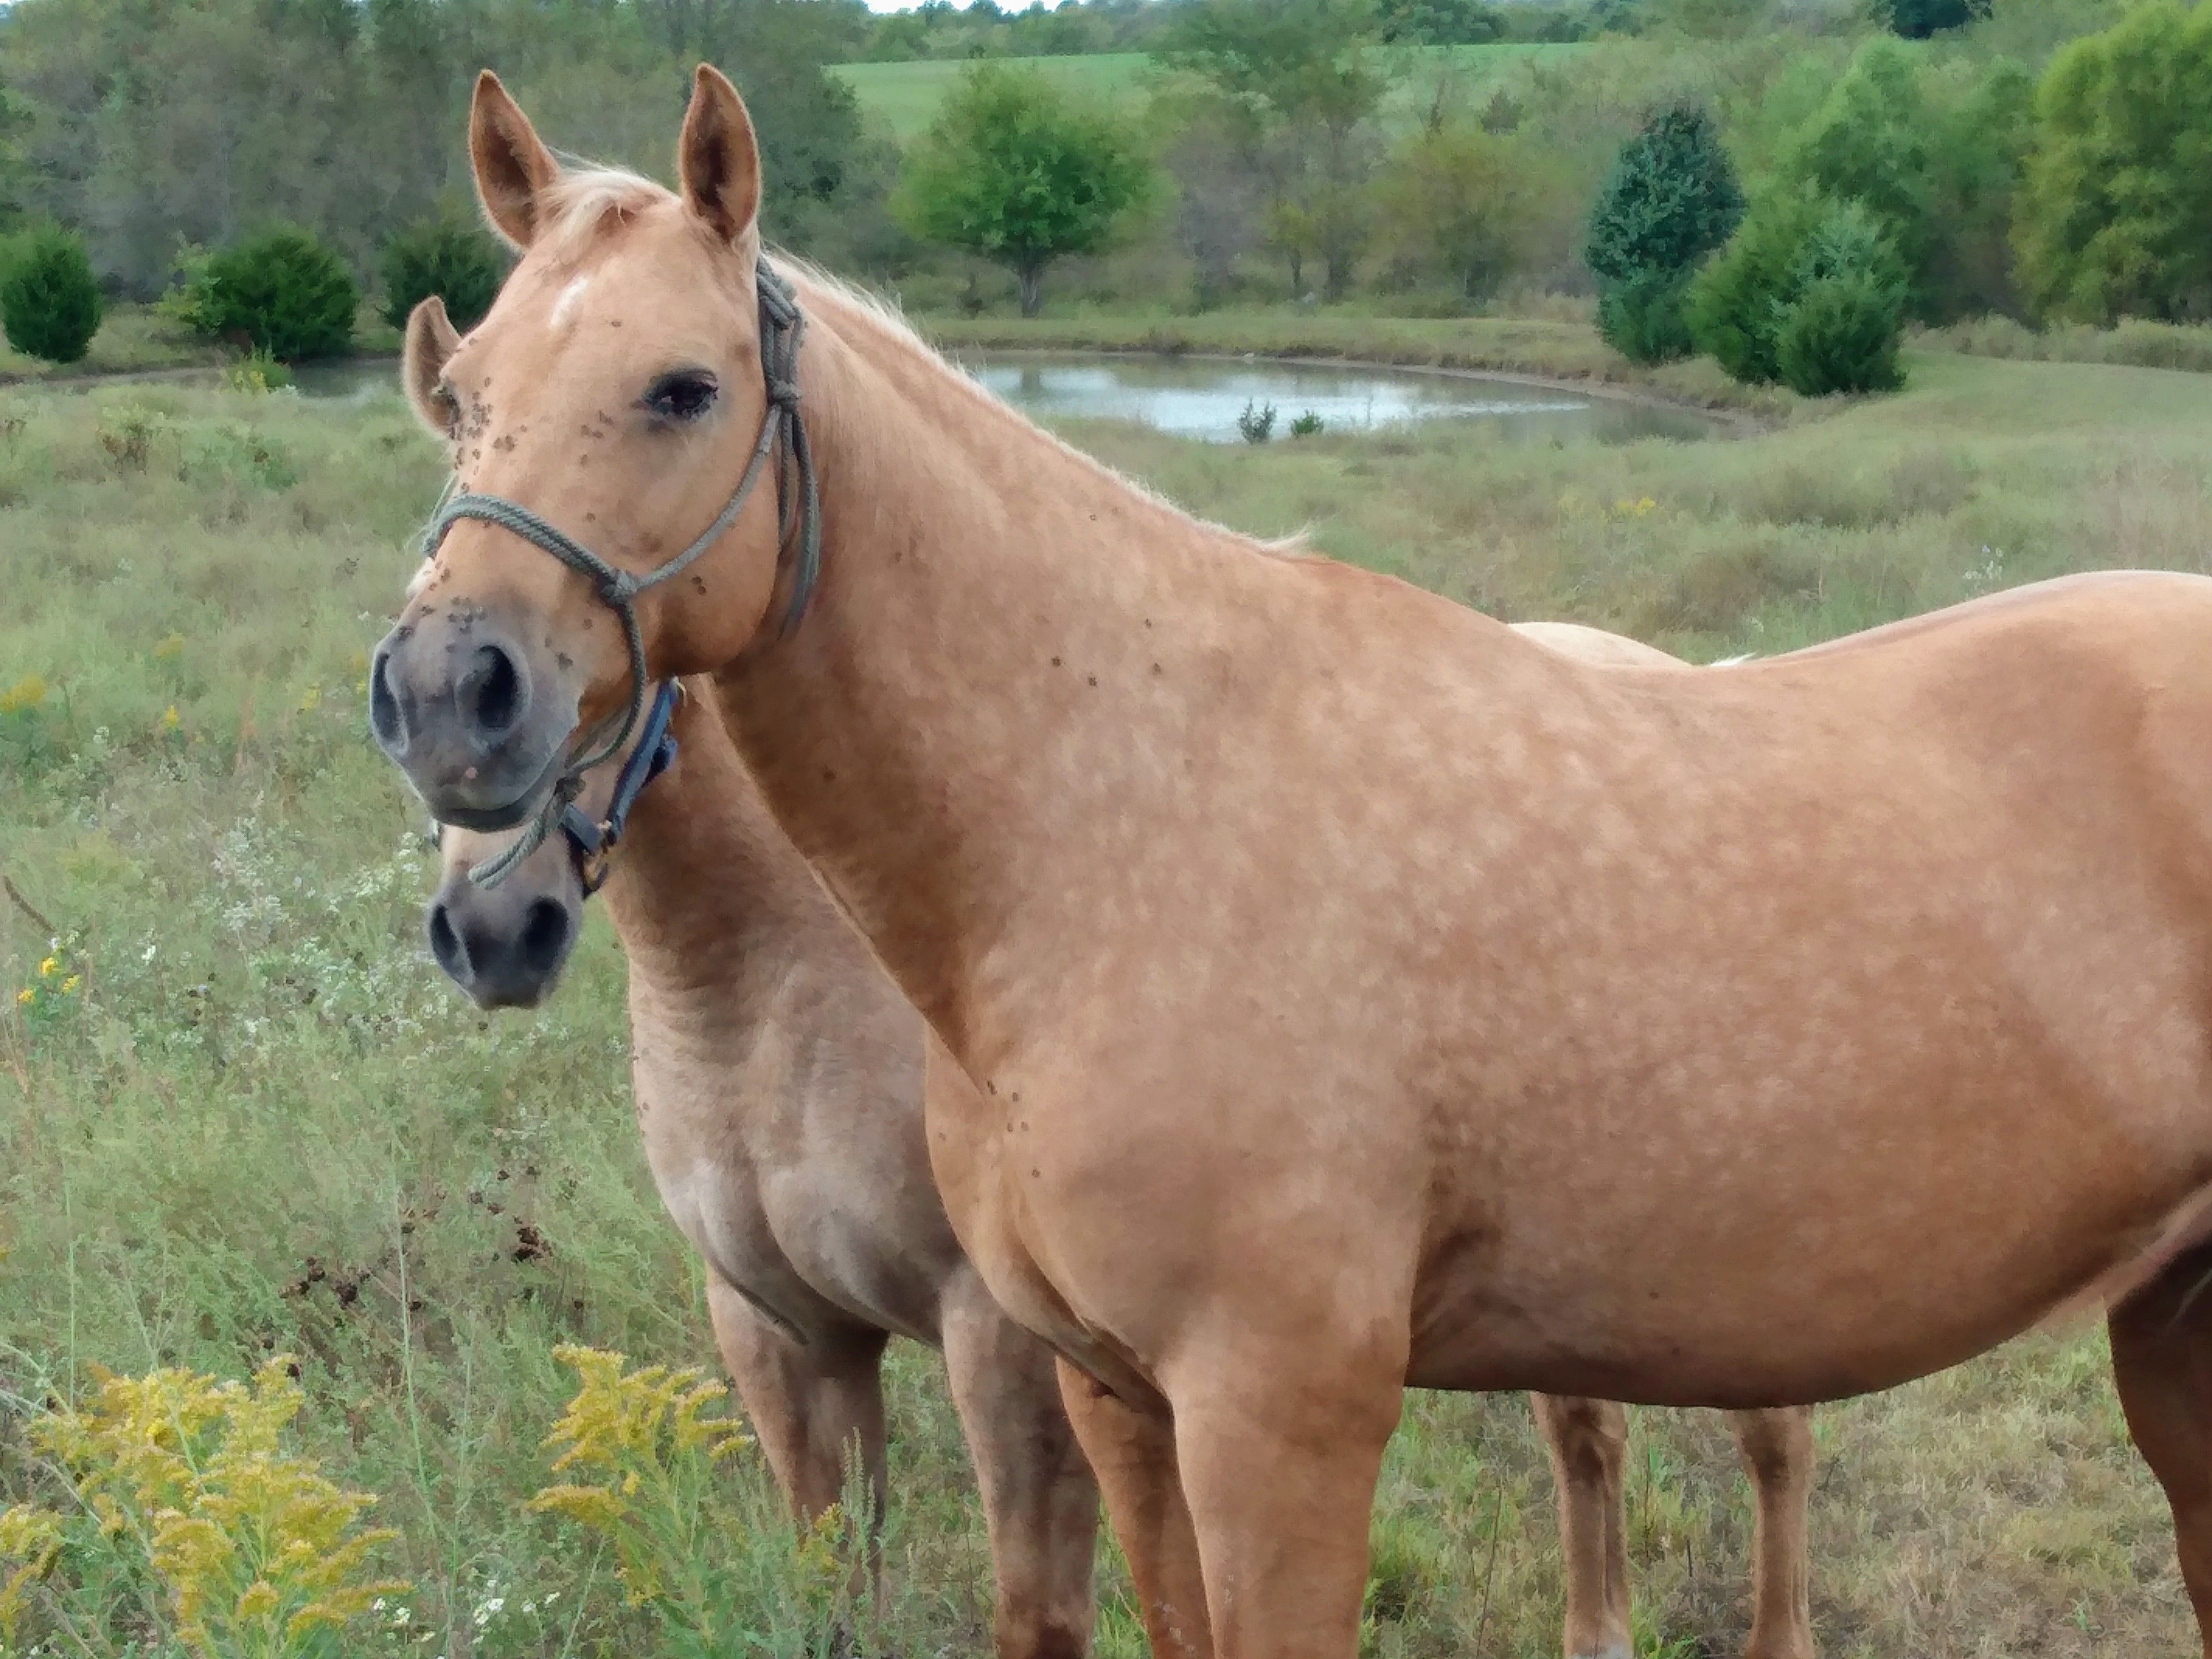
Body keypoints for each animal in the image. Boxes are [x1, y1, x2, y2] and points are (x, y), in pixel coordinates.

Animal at [421, 636, 1815, 1659]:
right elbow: (832, 1584)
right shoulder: (782, 1329)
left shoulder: (1001, 1333)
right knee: (1589, 1443)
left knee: (1770, 1446)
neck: (776, 987)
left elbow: (1045, 1603)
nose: (488, 932)